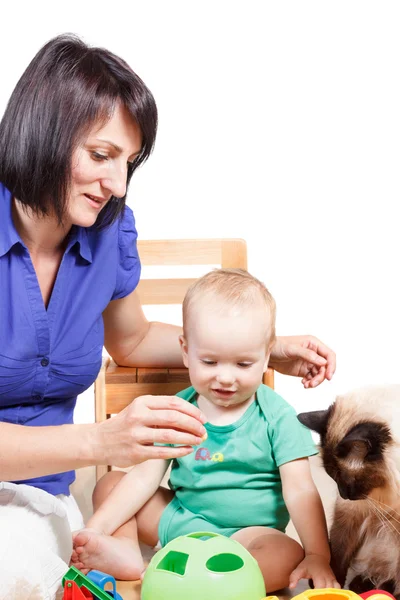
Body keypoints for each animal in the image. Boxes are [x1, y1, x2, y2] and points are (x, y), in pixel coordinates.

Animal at [298, 386, 400, 596]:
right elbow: (338, 552)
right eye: (333, 478)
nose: (343, 494)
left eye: (345, 479)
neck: (384, 495)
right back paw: (361, 585)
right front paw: (327, 584)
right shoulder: (349, 513)